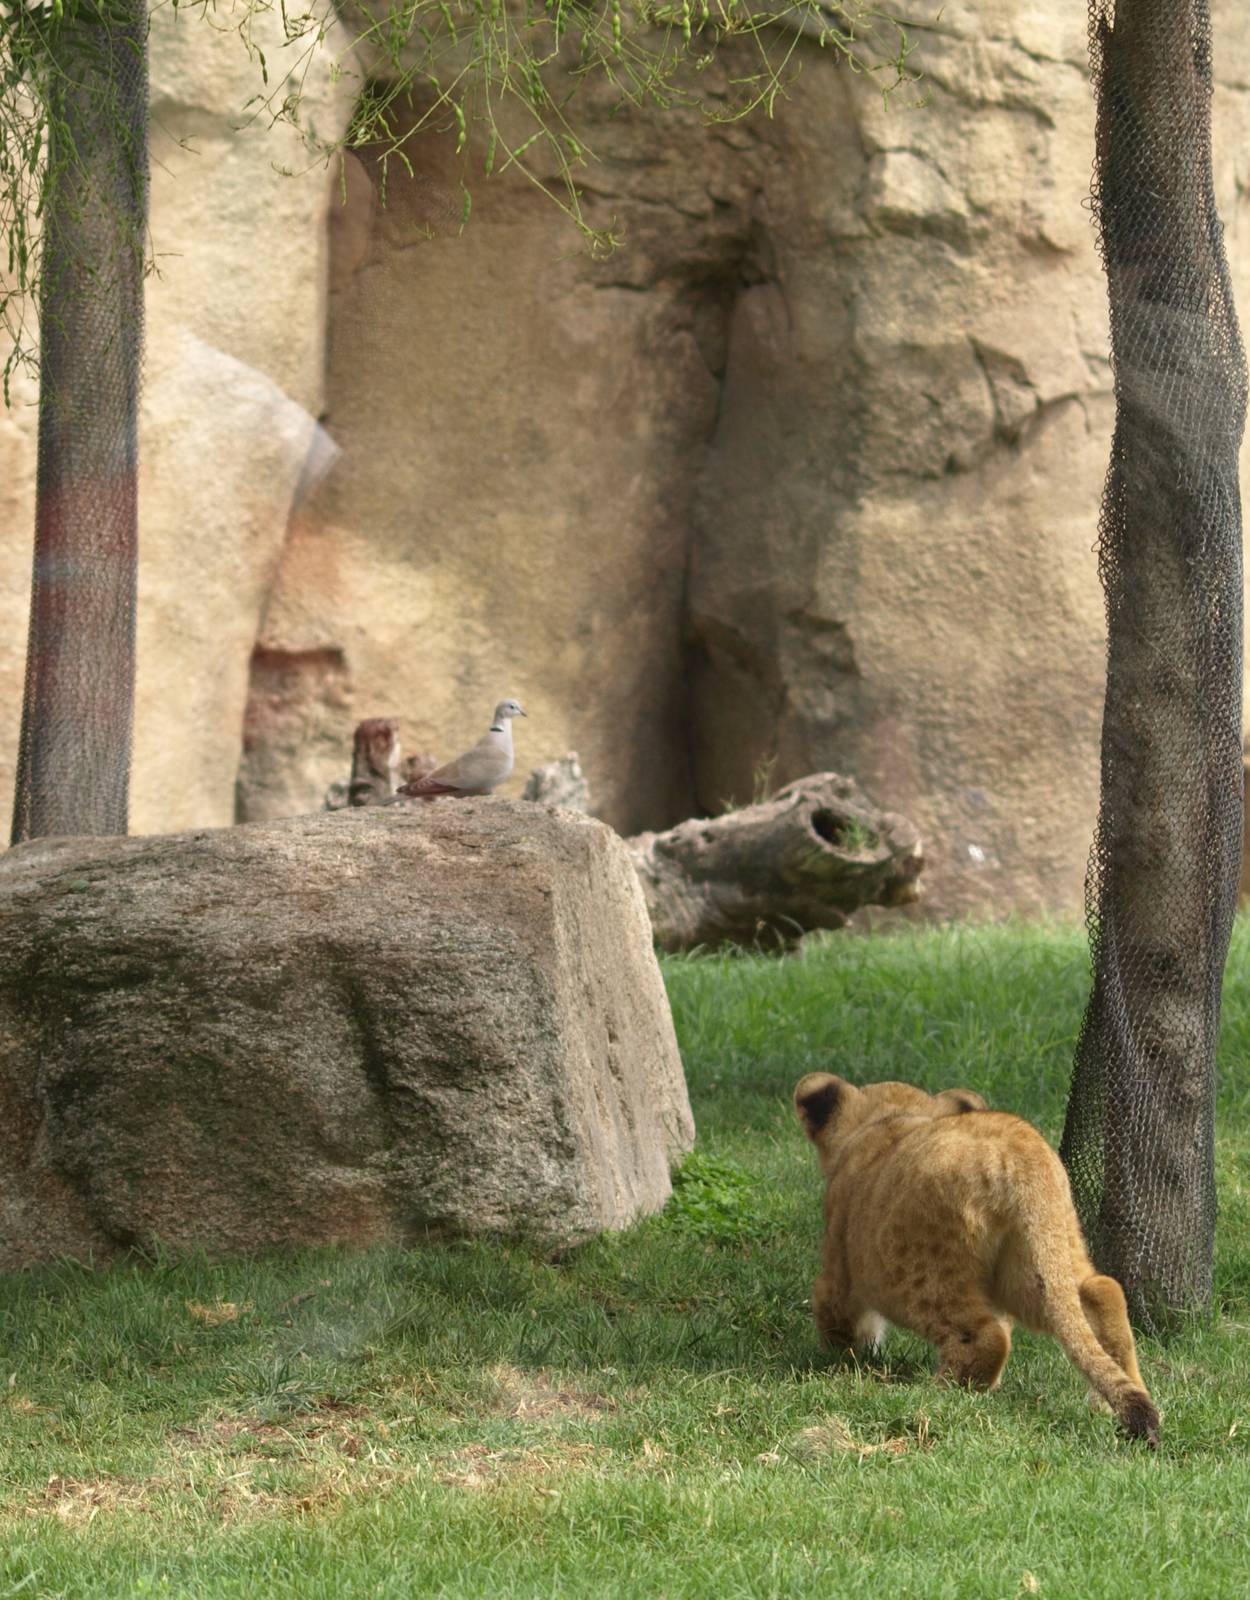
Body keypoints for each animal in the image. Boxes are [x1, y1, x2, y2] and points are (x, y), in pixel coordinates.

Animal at [794, 1072, 1159, 1444]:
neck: (890, 1120)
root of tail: (1025, 1155)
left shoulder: (840, 1267)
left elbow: (836, 1312)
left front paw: (840, 1359)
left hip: (922, 1273)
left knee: (987, 1337)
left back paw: (940, 1391)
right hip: (1037, 1257)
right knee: (1101, 1291)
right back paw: (1106, 1400)